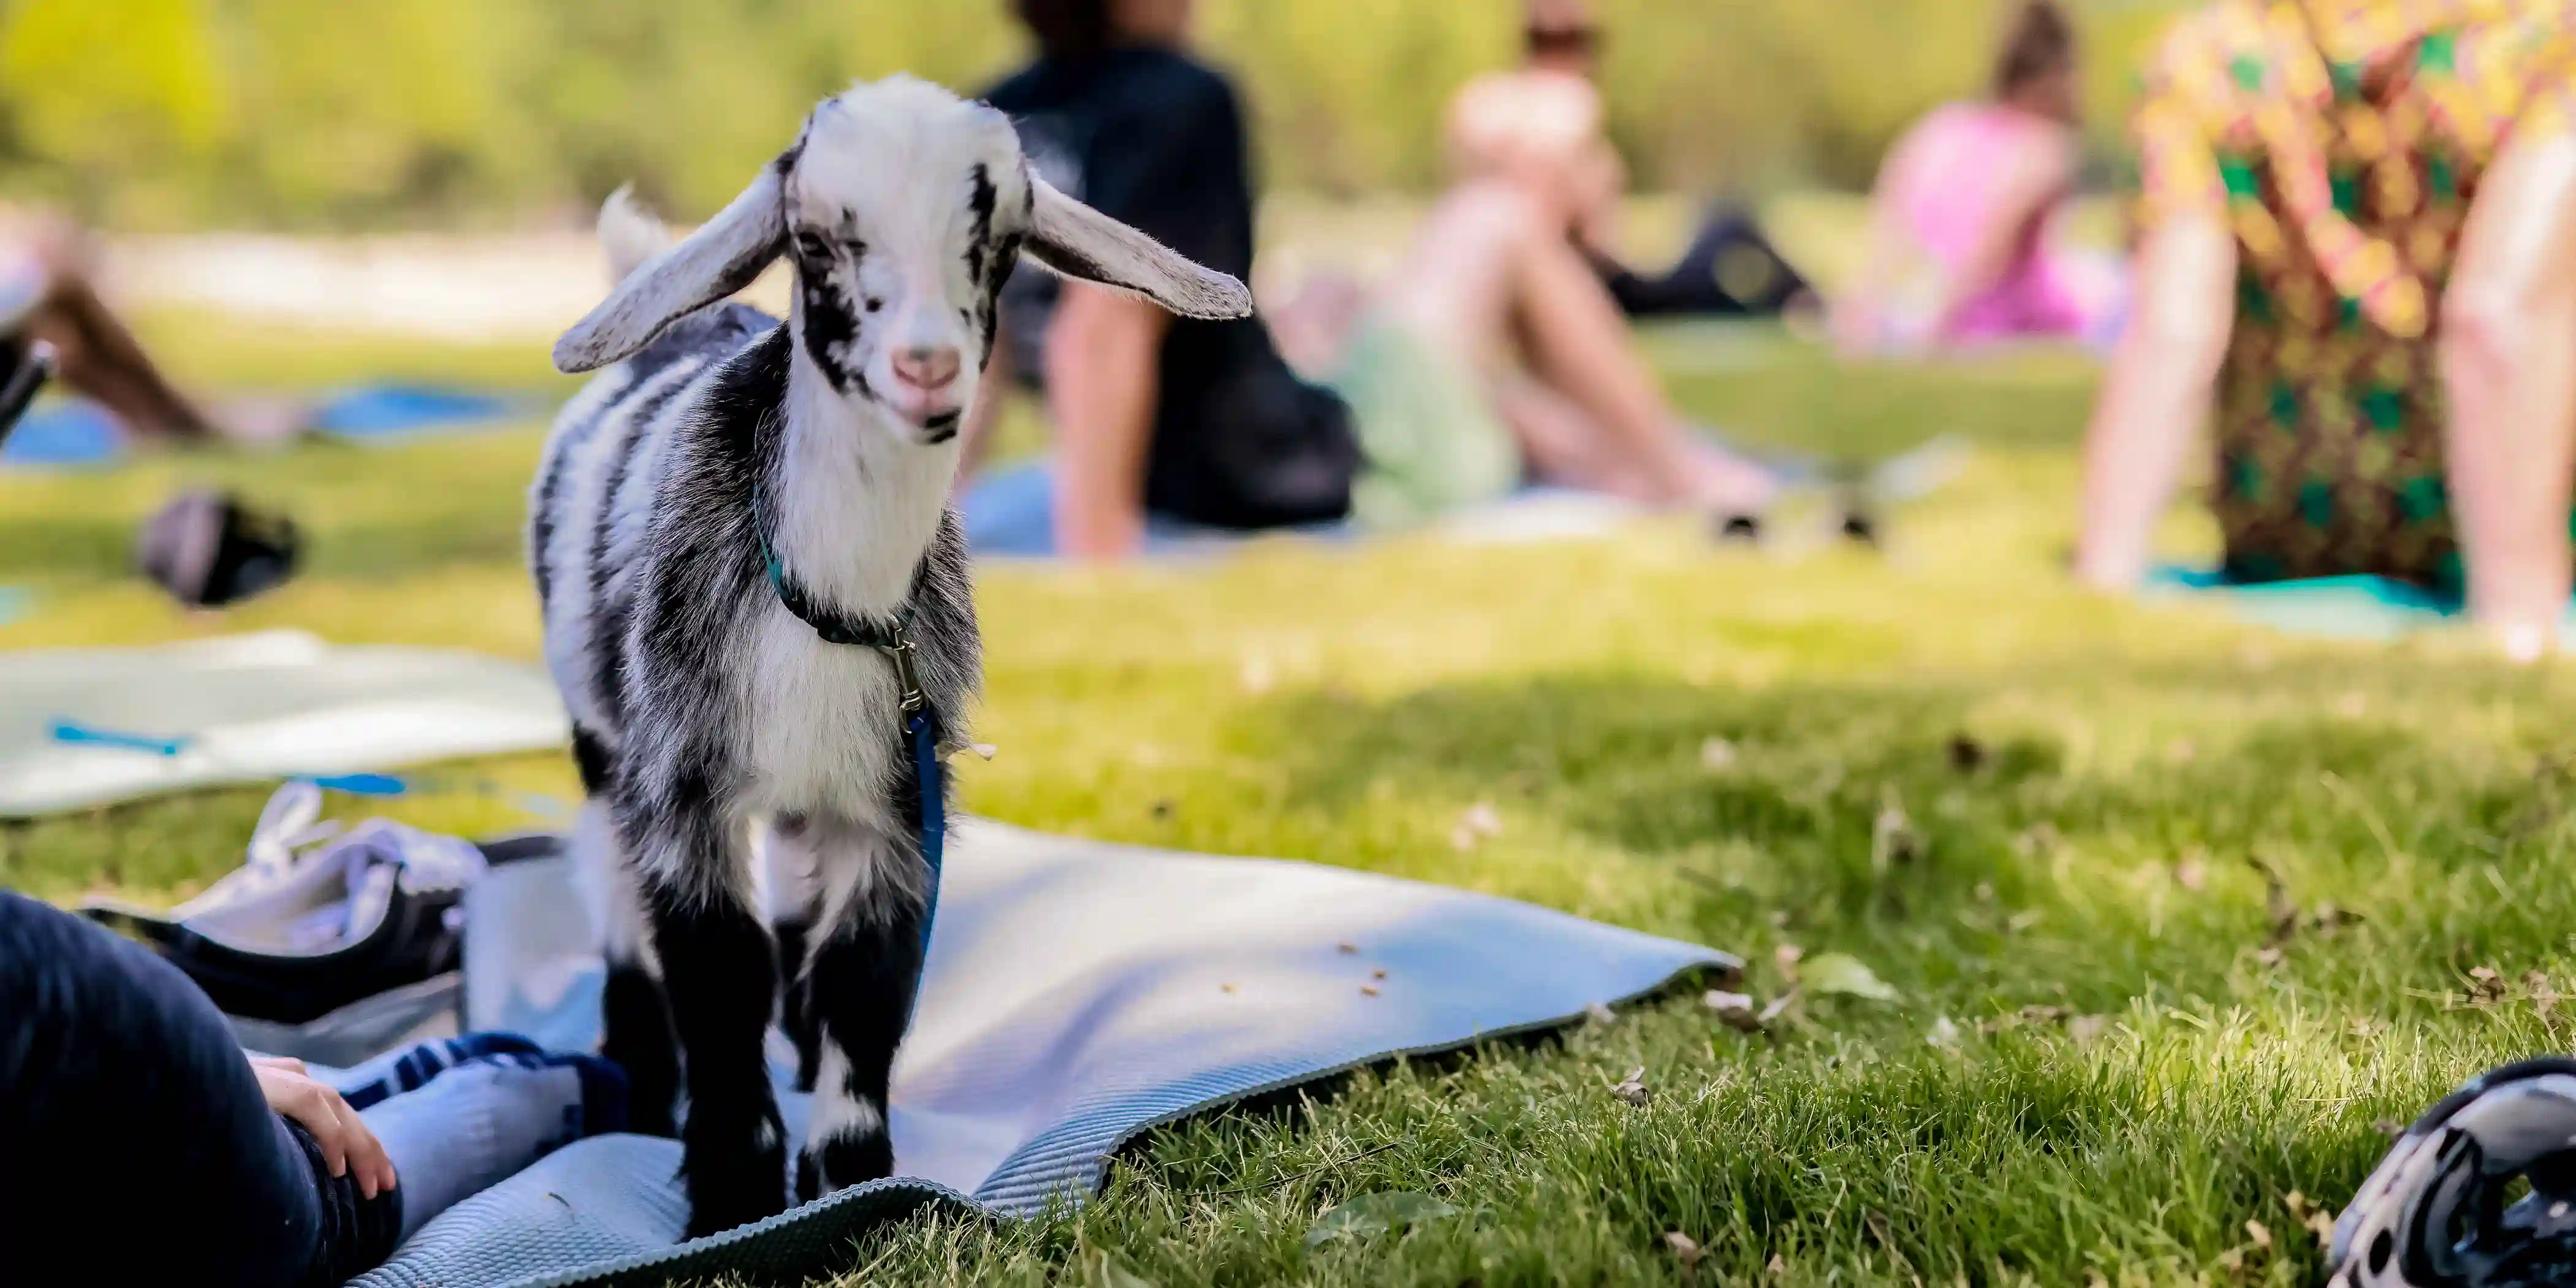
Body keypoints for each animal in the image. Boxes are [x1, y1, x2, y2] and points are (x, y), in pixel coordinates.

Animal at [528, 73, 1252, 1236]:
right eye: (817, 238)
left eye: (998, 240)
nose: (925, 368)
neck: (824, 605)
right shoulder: (681, 793)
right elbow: (716, 977)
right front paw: (733, 1200)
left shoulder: (896, 804)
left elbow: (862, 983)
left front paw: (857, 1186)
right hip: (600, 743)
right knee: (614, 903)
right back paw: (637, 1076)